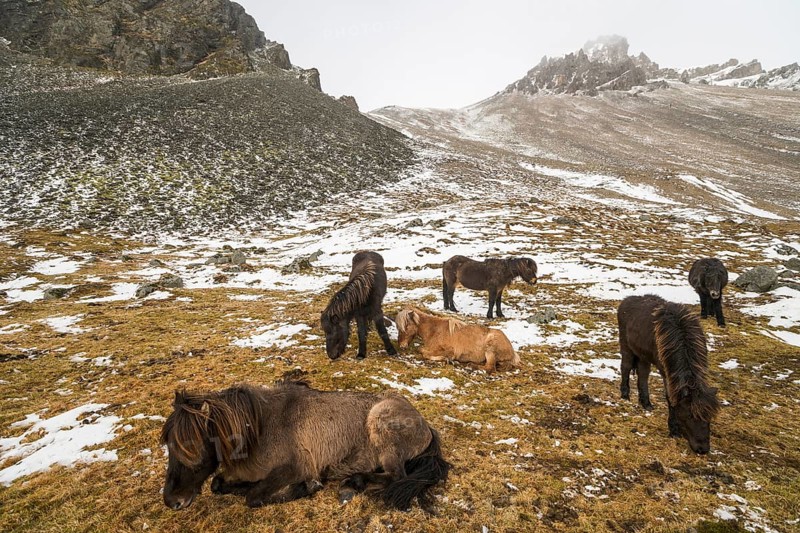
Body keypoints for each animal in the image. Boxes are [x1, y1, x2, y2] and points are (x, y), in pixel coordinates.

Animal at [160, 380, 450, 511]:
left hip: (380, 425)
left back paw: (353, 483)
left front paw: (305, 488)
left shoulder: (294, 468)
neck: (261, 429)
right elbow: (218, 484)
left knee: (396, 476)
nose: (172, 501)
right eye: (168, 446)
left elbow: (253, 496)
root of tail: (425, 426)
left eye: (190, 448)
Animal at [617, 294, 720, 454]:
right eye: (690, 415)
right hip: (626, 347)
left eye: (709, 416)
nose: (702, 449)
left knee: (643, 374)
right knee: (626, 368)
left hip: (643, 355)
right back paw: (625, 395)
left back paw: (646, 403)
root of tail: (627, 300)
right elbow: (670, 398)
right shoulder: (666, 372)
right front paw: (674, 430)